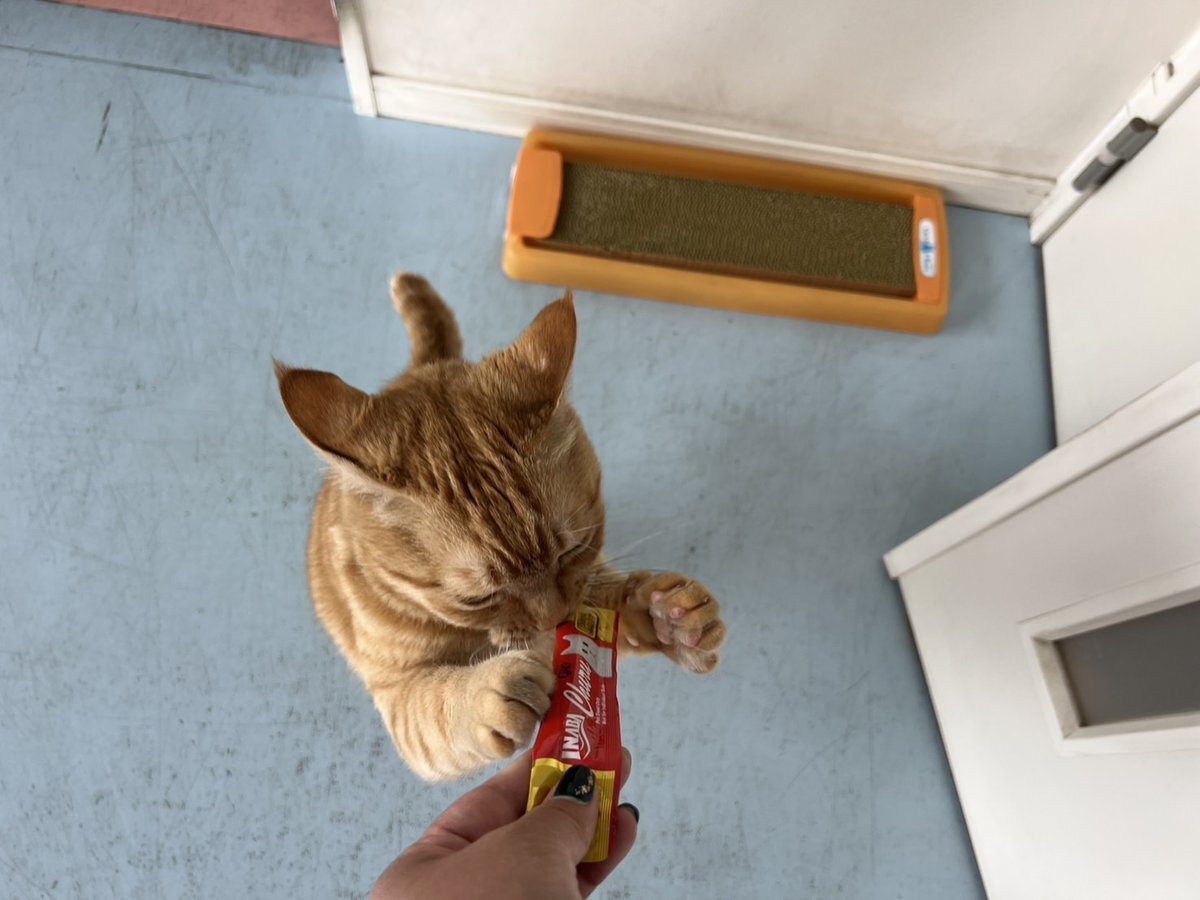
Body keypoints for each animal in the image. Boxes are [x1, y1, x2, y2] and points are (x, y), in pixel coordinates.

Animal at [276, 273, 727, 781]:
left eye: (573, 550)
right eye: (476, 598)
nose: (552, 617)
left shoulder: (585, 591)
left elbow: (612, 608)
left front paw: (668, 616)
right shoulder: (400, 698)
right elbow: (436, 707)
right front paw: (489, 694)